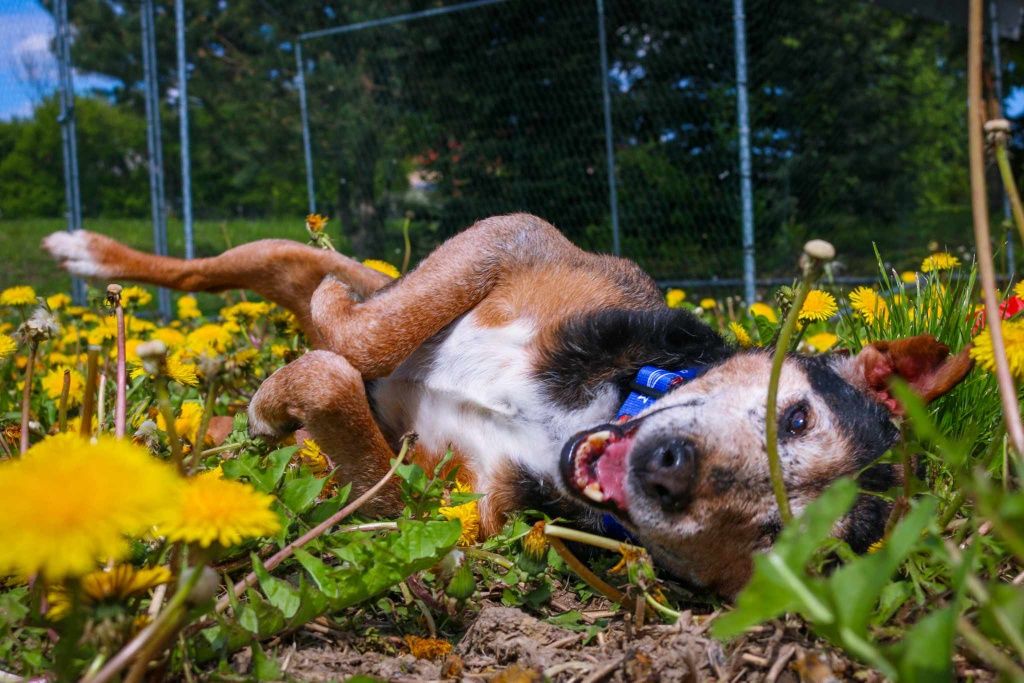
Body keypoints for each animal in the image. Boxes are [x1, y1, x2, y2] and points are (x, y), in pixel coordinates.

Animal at [44, 215, 970, 598]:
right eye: (795, 417)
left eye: (777, 541)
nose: (670, 473)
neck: (575, 422)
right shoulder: (512, 241)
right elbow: (367, 340)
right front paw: (289, 384)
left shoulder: (452, 518)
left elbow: (368, 461)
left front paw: (279, 406)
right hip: (316, 260)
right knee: (240, 273)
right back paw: (96, 255)